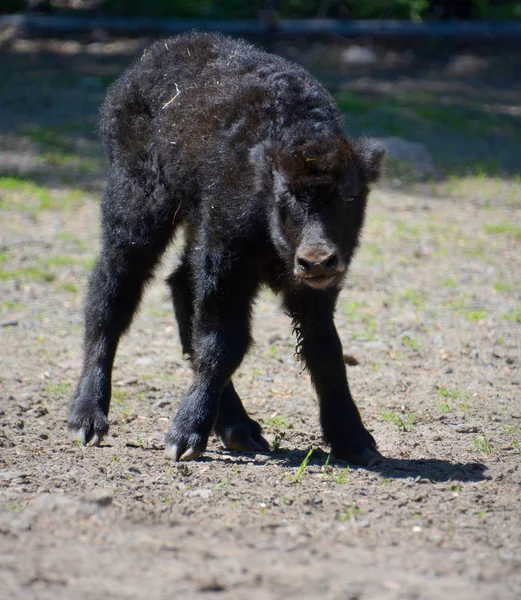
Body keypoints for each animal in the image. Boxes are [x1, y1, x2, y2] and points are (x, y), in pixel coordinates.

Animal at [68, 30, 386, 466]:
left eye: (350, 196)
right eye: (285, 196)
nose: (316, 260)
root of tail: (147, 62)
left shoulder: (314, 291)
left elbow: (325, 350)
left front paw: (356, 441)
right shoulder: (226, 264)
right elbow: (224, 343)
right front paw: (183, 439)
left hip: (193, 229)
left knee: (179, 287)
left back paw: (240, 430)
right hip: (137, 212)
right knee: (111, 296)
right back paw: (88, 420)